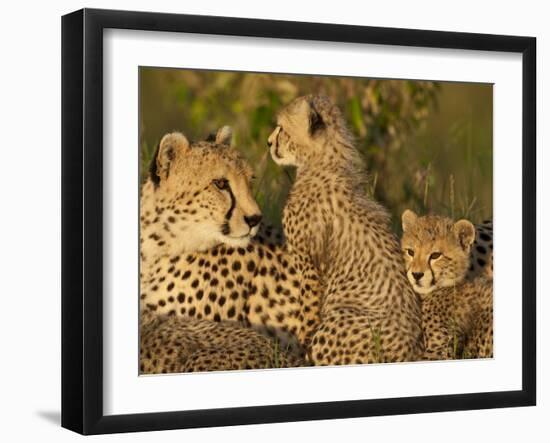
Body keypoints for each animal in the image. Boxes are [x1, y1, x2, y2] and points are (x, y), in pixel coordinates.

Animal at [270, 95, 424, 366]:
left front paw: (299, 350)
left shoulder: (309, 267)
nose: (269, 143)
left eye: (282, 129)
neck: (322, 161)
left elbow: (306, 315)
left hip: (339, 318)